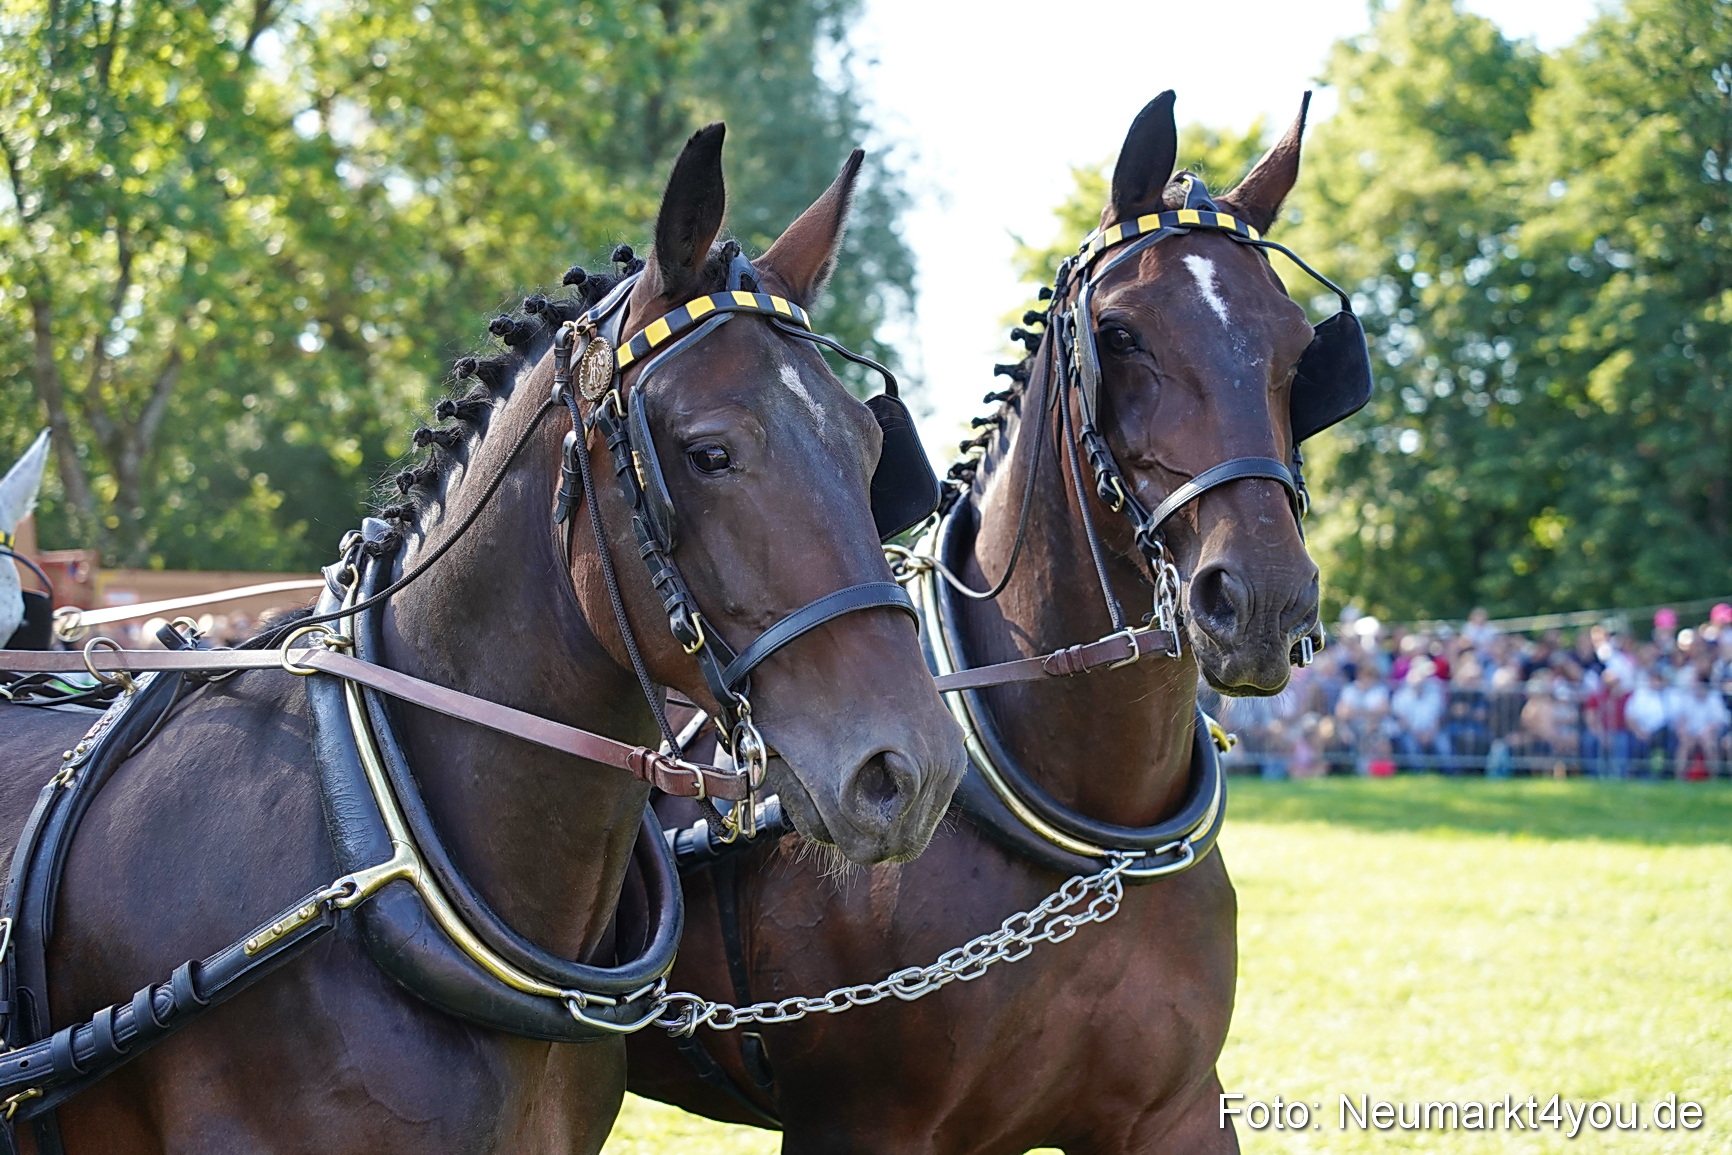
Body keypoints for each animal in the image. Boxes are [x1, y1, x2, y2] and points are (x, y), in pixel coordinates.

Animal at [627, 92, 1371, 1154]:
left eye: (1299, 348)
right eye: (1121, 333)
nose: (1264, 596)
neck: (1098, 815)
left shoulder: (1177, 1113)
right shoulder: (860, 1124)